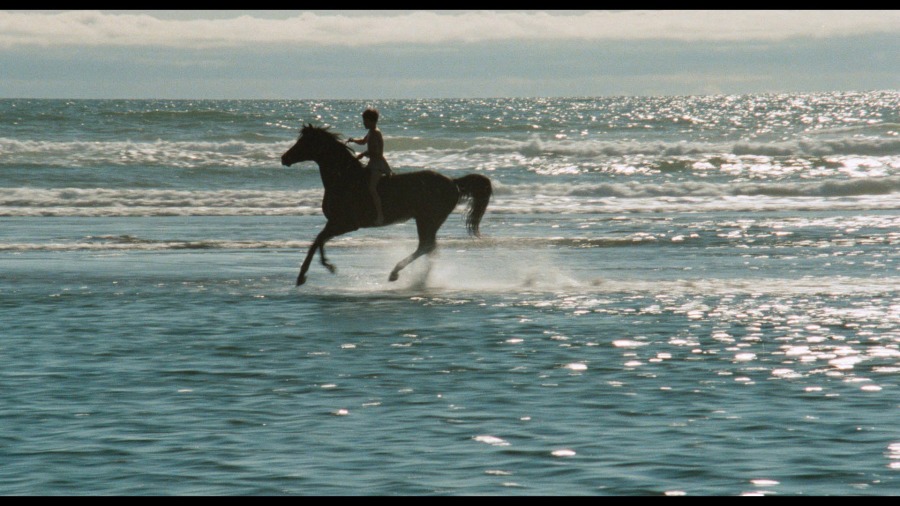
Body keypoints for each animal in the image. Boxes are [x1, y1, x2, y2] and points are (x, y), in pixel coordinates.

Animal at [281, 124, 492, 286]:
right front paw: (324, 267)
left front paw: (306, 275)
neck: (345, 180)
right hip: (429, 221)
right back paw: (419, 279)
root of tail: (453, 182)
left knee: (426, 246)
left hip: (427, 220)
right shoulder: (334, 222)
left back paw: (396, 274)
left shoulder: (347, 224)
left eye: (304, 142)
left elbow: (318, 240)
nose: (284, 158)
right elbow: (319, 241)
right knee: (430, 248)